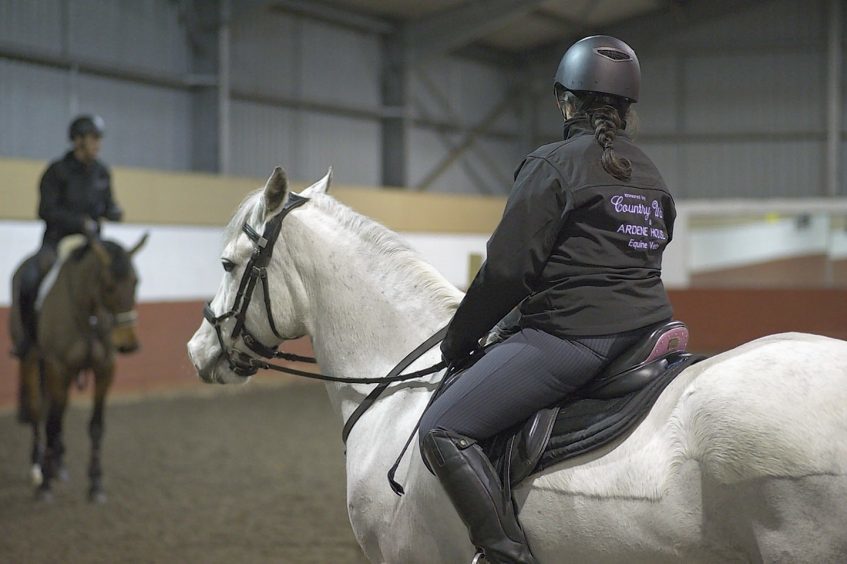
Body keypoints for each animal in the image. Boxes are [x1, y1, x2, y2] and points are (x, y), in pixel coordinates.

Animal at [12, 234, 147, 502]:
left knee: (57, 410)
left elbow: (96, 426)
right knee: (37, 411)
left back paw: (58, 465)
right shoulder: (56, 366)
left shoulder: (105, 369)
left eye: (136, 282)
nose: (129, 344)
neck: (89, 313)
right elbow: (51, 423)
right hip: (32, 360)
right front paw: (45, 486)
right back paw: (38, 468)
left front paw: (95, 483)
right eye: (108, 286)